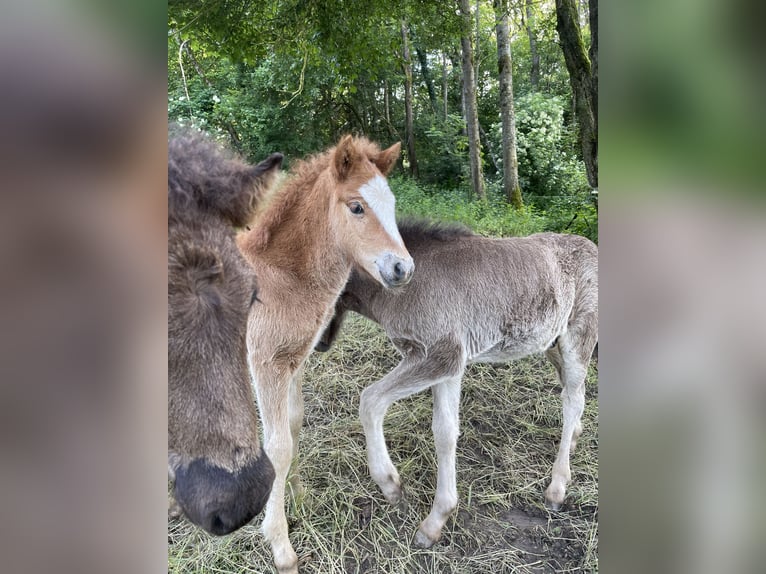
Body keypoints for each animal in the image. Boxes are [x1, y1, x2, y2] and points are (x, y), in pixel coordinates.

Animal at [318, 219, 600, 548]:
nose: (319, 345)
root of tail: (592, 247)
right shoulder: (449, 365)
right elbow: (445, 432)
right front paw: (437, 519)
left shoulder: (441, 356)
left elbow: (370, 400)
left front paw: (391, 486)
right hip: (552, 344)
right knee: (575, 393)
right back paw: (576, 438)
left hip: (578, 338)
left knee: (573, 401)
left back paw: (557, 487)